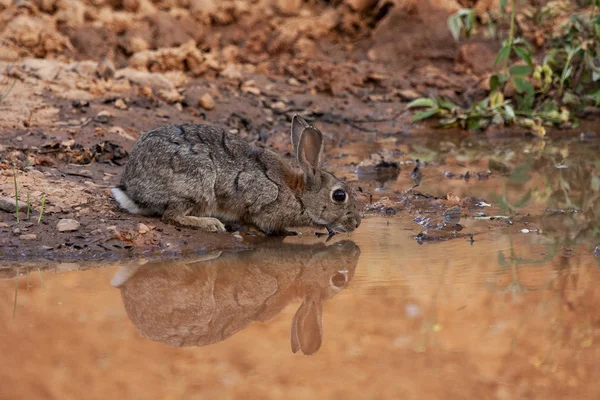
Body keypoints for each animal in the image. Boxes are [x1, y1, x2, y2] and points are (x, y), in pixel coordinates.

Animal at [110, 115, 360, 234]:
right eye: (339, 196)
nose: (357, 223)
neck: (299, 195)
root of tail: (133, 190)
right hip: (197, 184)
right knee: (171, 215)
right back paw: (210, 224)